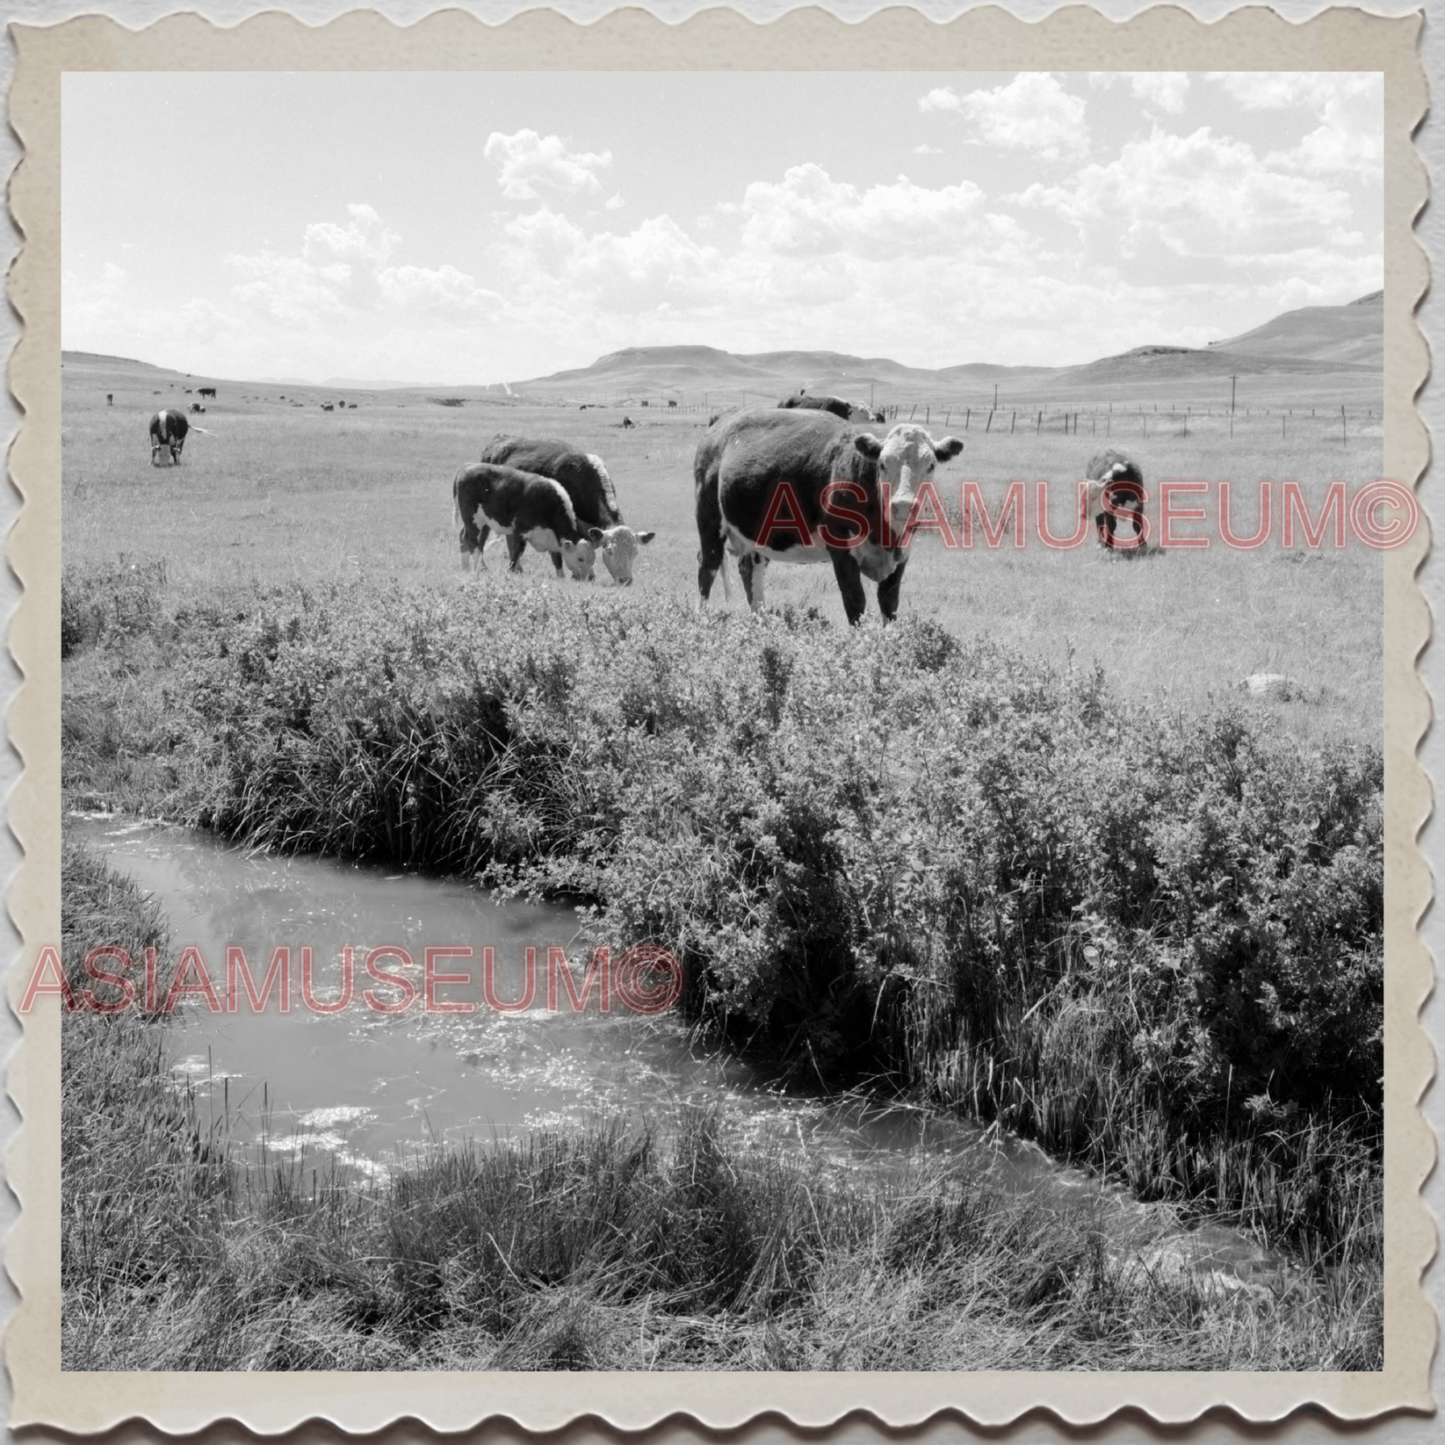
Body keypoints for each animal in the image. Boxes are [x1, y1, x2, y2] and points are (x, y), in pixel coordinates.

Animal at [456, 459, 604, 578]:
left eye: (593, 559)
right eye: (580, 558)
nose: (589, 578)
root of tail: (466, 467)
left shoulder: (552, 538)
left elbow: (557, 558)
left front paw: (560, 576)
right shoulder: (521, 531)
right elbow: (517, 552)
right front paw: (511, 570)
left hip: (482, 522)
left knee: (466, 537)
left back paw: (466, 567)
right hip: (472, 519)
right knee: (471, 539)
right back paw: (480, 567)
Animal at [696, 410, 959, 630]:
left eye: (931, 465)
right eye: (883, 464)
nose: (903, 504)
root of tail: (721, 420)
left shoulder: (902, 552)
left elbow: (889, 604)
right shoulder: (841, 548)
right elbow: (855, 600)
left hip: (756, 534)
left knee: (751, 570)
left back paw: (762, 622)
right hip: (709, 519)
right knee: (707, 567)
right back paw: (702, 621)